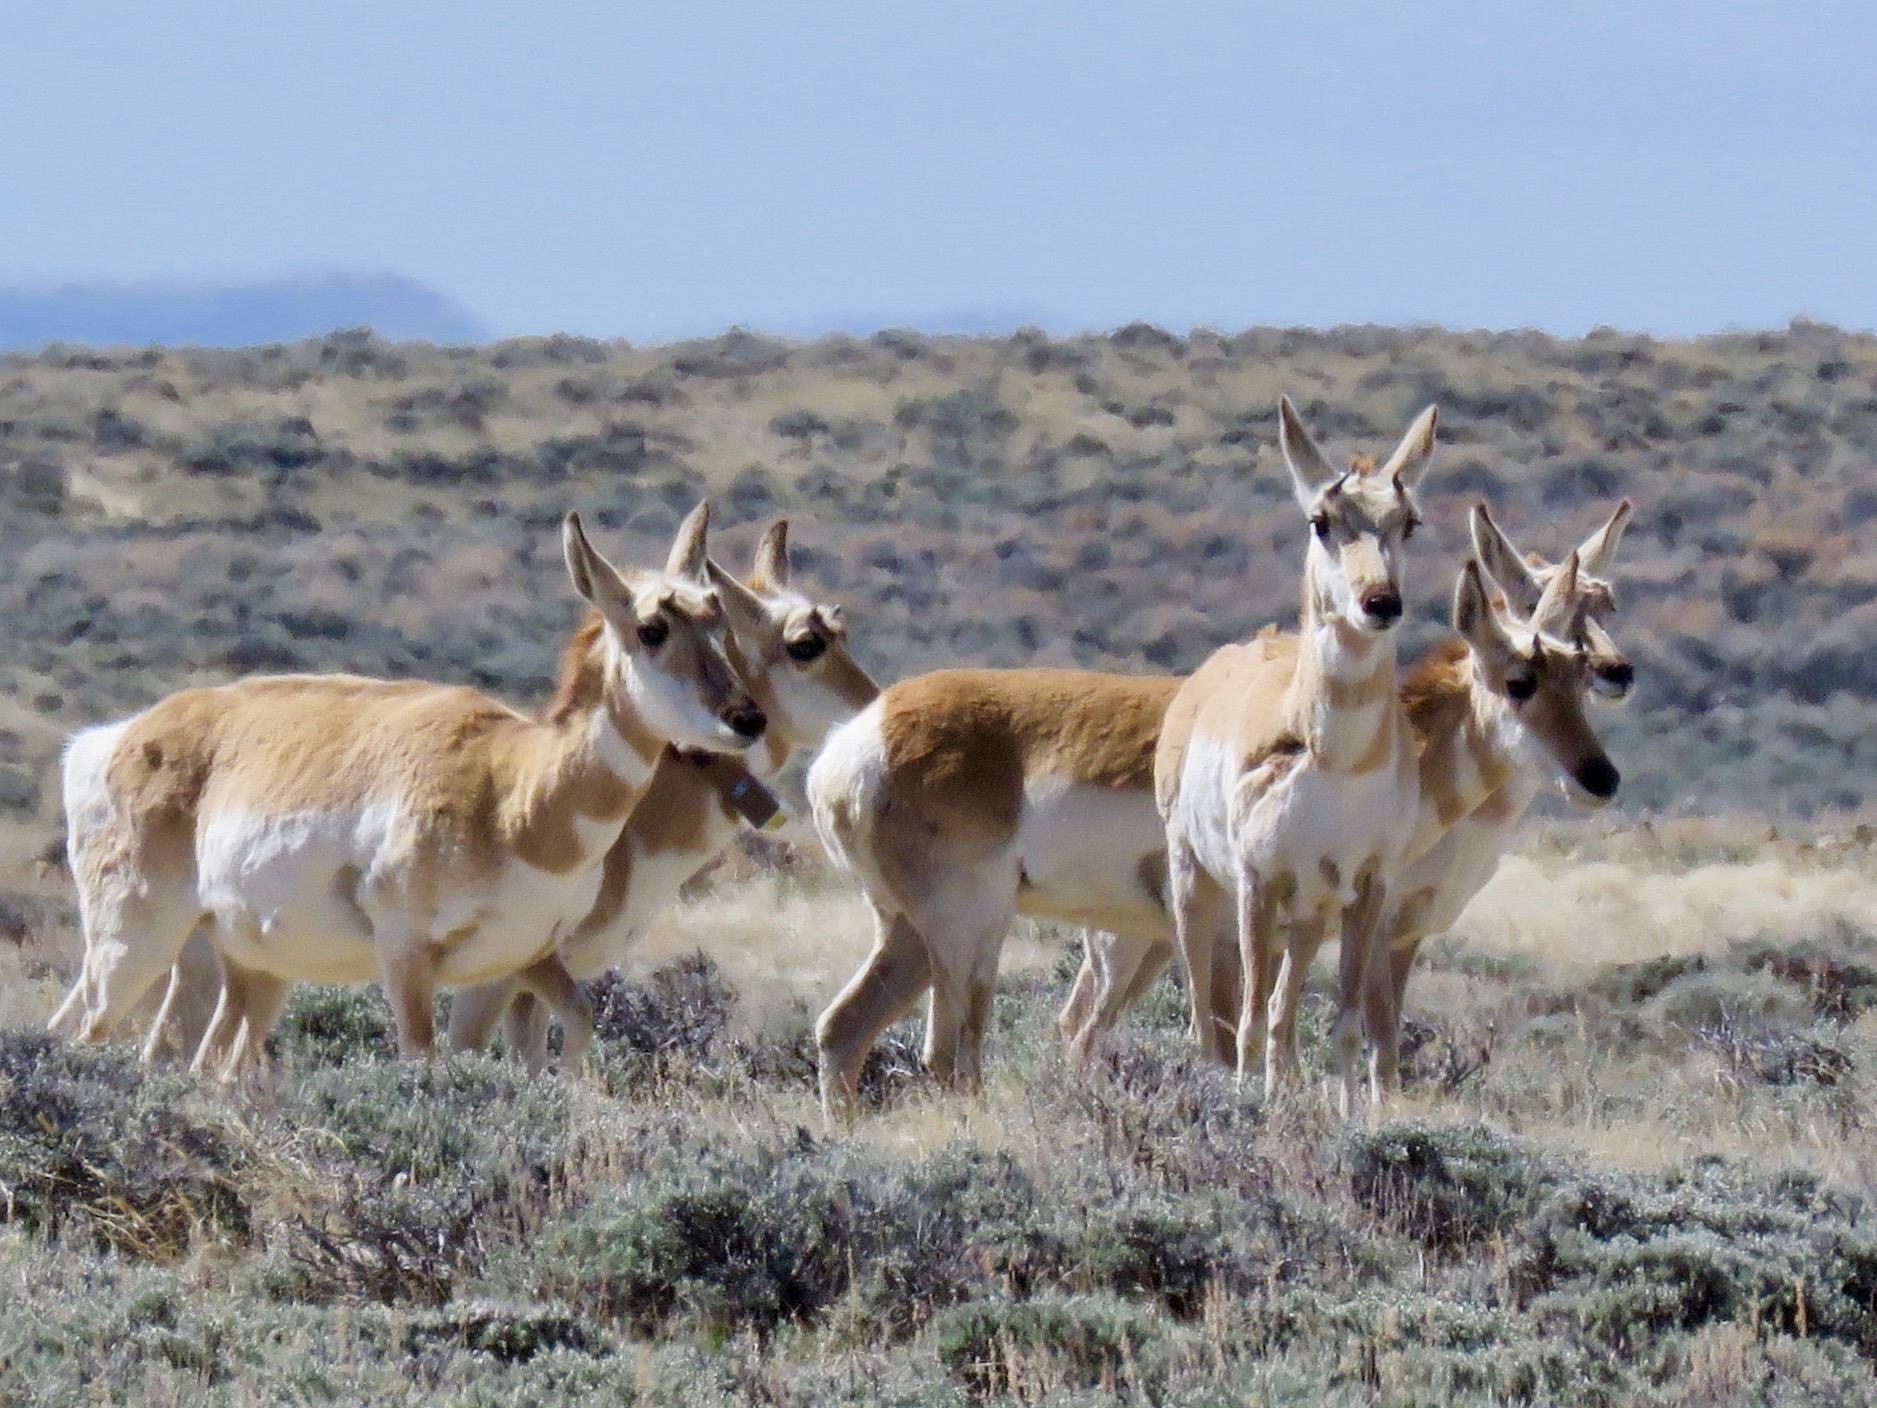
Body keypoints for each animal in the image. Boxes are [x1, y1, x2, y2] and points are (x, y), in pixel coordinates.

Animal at [49, 506, 766, 1070]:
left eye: (718, 620)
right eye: (651, 628)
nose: (748, 719)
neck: (512, 788)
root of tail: (116, 736)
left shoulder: (526, 960)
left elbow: (576, 1027)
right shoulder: (407, 959)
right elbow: (424, 1063)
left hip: (234, 962)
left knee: (175, 1056)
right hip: (131, 947)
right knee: (84, 1035)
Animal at [1156, 398, 1435, 1109]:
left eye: (1409, 522)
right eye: (1320, 520)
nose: (1380, 602)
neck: (1337, 763)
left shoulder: (1366, 888)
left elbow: (1343, 1025)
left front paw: (1350, 1118)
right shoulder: (1259, 882)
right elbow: (1249, 1021)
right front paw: (1249, 1112)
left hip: (1309, 915)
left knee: (1284, 1014)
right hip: (1195, 883)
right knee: (1211, 1015)